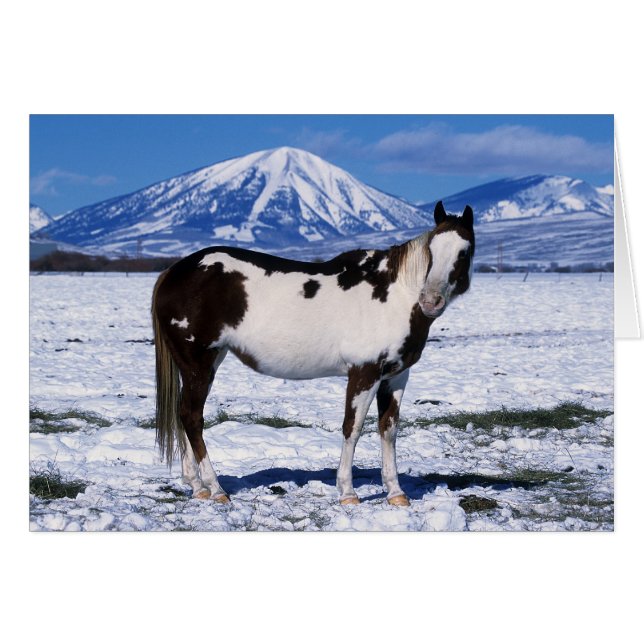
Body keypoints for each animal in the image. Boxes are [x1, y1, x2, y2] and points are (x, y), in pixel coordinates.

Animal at [152, 201, 475, 506]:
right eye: (432, 249)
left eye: (464, 251)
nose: (430, 301)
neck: (394, 296)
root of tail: (173, 272)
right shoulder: (364, 373)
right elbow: (352, 428)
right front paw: (347, 493)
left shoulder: (395, 377)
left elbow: (389, 430)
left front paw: (396, 493)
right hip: (198, 363)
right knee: (192, 417)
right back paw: (216, 489)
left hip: (203, 363)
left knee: (184, 416)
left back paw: (197, 487)